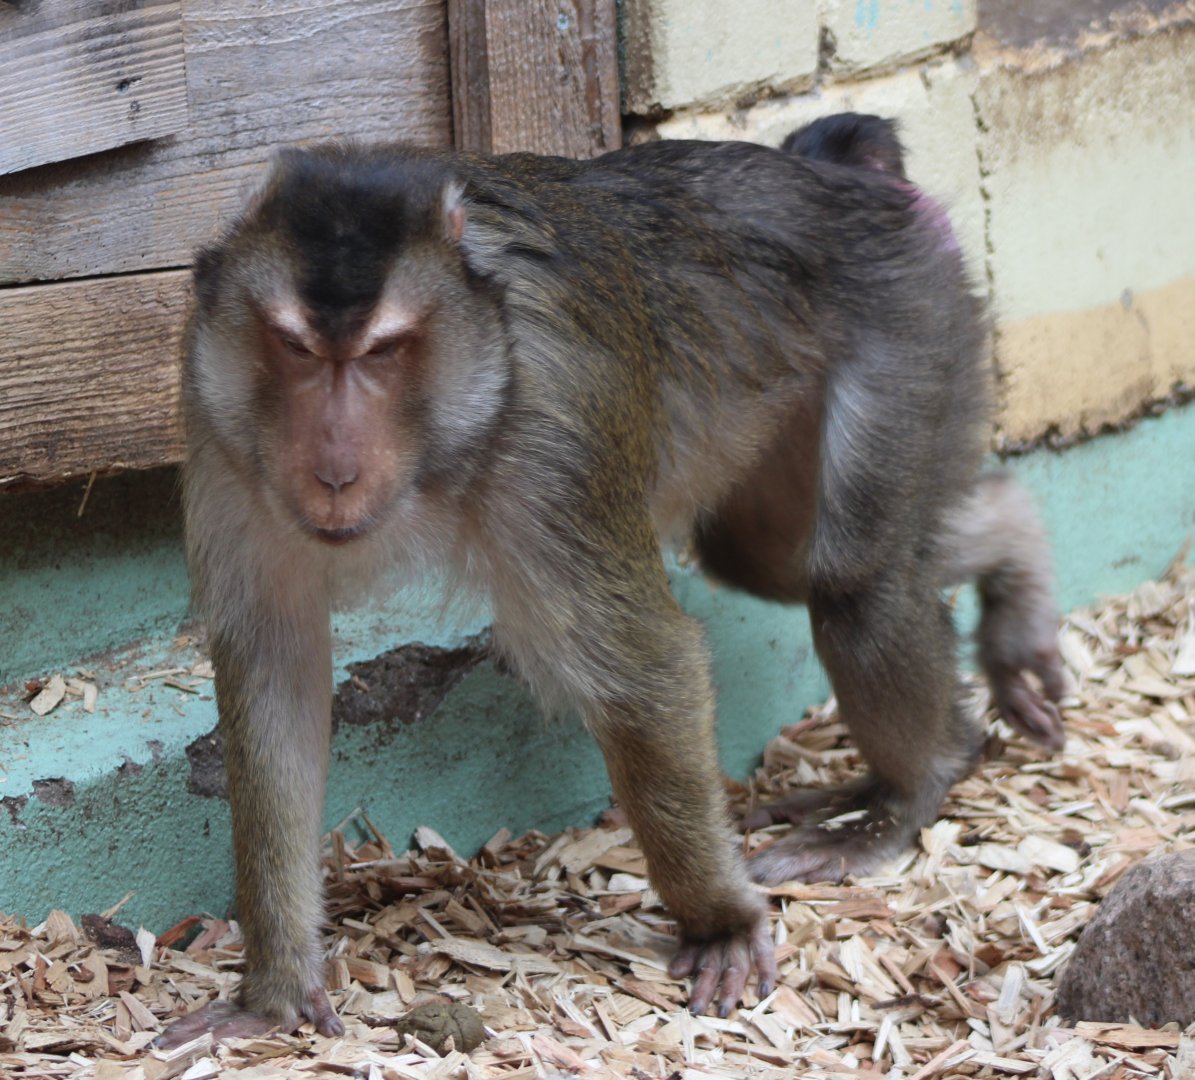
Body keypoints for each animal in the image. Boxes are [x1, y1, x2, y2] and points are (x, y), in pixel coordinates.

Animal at [155, 114, 1064, 1047]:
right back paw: (1013, 566)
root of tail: (837, 175)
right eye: (296, 349)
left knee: (856, 580)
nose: (332, 470)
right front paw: (271, 990)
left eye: (383, 352)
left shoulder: (554, 433)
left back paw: (909, 789)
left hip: (911, 320)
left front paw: (720, 921)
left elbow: (644, 666)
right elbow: (273, 682)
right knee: (773, 557)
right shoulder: (222, 430)